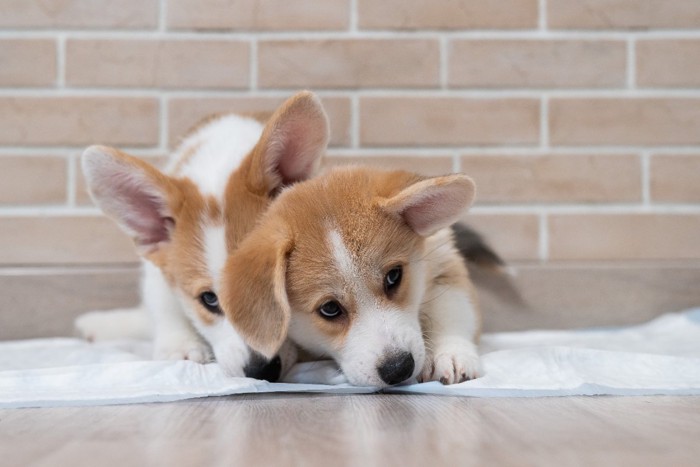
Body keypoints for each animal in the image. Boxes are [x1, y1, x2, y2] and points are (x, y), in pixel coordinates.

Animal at [221, 167, 484, 388]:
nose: (398, 368)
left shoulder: (443, 261)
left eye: (394, 276)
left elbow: (450, 312)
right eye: (329, 309)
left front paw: (448, 353)